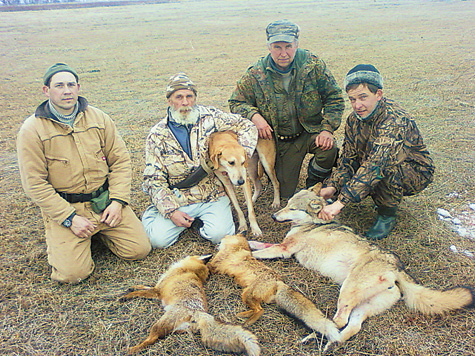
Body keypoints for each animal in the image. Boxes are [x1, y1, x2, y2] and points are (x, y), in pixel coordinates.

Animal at [119, 254, 260, 354]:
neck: (189, 270)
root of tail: (199, 312)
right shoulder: (157, 287)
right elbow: (142, 287)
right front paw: (131, 288)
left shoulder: (157, 291)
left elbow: (140, 292)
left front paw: (127, 296)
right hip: (176, 329)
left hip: (159, 324)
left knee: (152, 339)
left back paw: (131, 350)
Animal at [208, 232, 342, 346]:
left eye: (226, 236)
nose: (218, 241)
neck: (238, 246)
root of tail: (279, 281)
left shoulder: (215, 265)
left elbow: (209, 264)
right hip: (247, 295)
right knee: (258, 308)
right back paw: (244, 315)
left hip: (247, 295)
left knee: (260, 310)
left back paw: (247, 322)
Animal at [251, 185, 474, 352]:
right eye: (286, 204)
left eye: (292, 208)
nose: (273, 216)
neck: (313, 223)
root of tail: (396, 266)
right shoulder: (282, 246)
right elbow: (260, 244)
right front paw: (248, 242)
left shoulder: (284, 250)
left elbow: (259, 252)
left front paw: (246, 255)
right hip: (361, 306)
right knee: (352, 327)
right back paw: (329, 343)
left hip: (347, 292)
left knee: (339, 321)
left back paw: (318, 336)